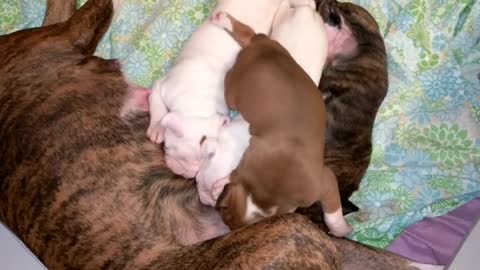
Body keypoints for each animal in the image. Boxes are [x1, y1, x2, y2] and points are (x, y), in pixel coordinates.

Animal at [146, 0, 288, 178]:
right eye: (183, 157)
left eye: (204, 160)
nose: (191, 174)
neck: (196, 105)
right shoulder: (162, 86)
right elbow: (157, 104)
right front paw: (157, 127)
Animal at [212, 11, 350, 237]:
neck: (262, 196)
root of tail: (256, 46)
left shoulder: (325, 182)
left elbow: (333, 213)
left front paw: (340, 228)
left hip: (242, 80)